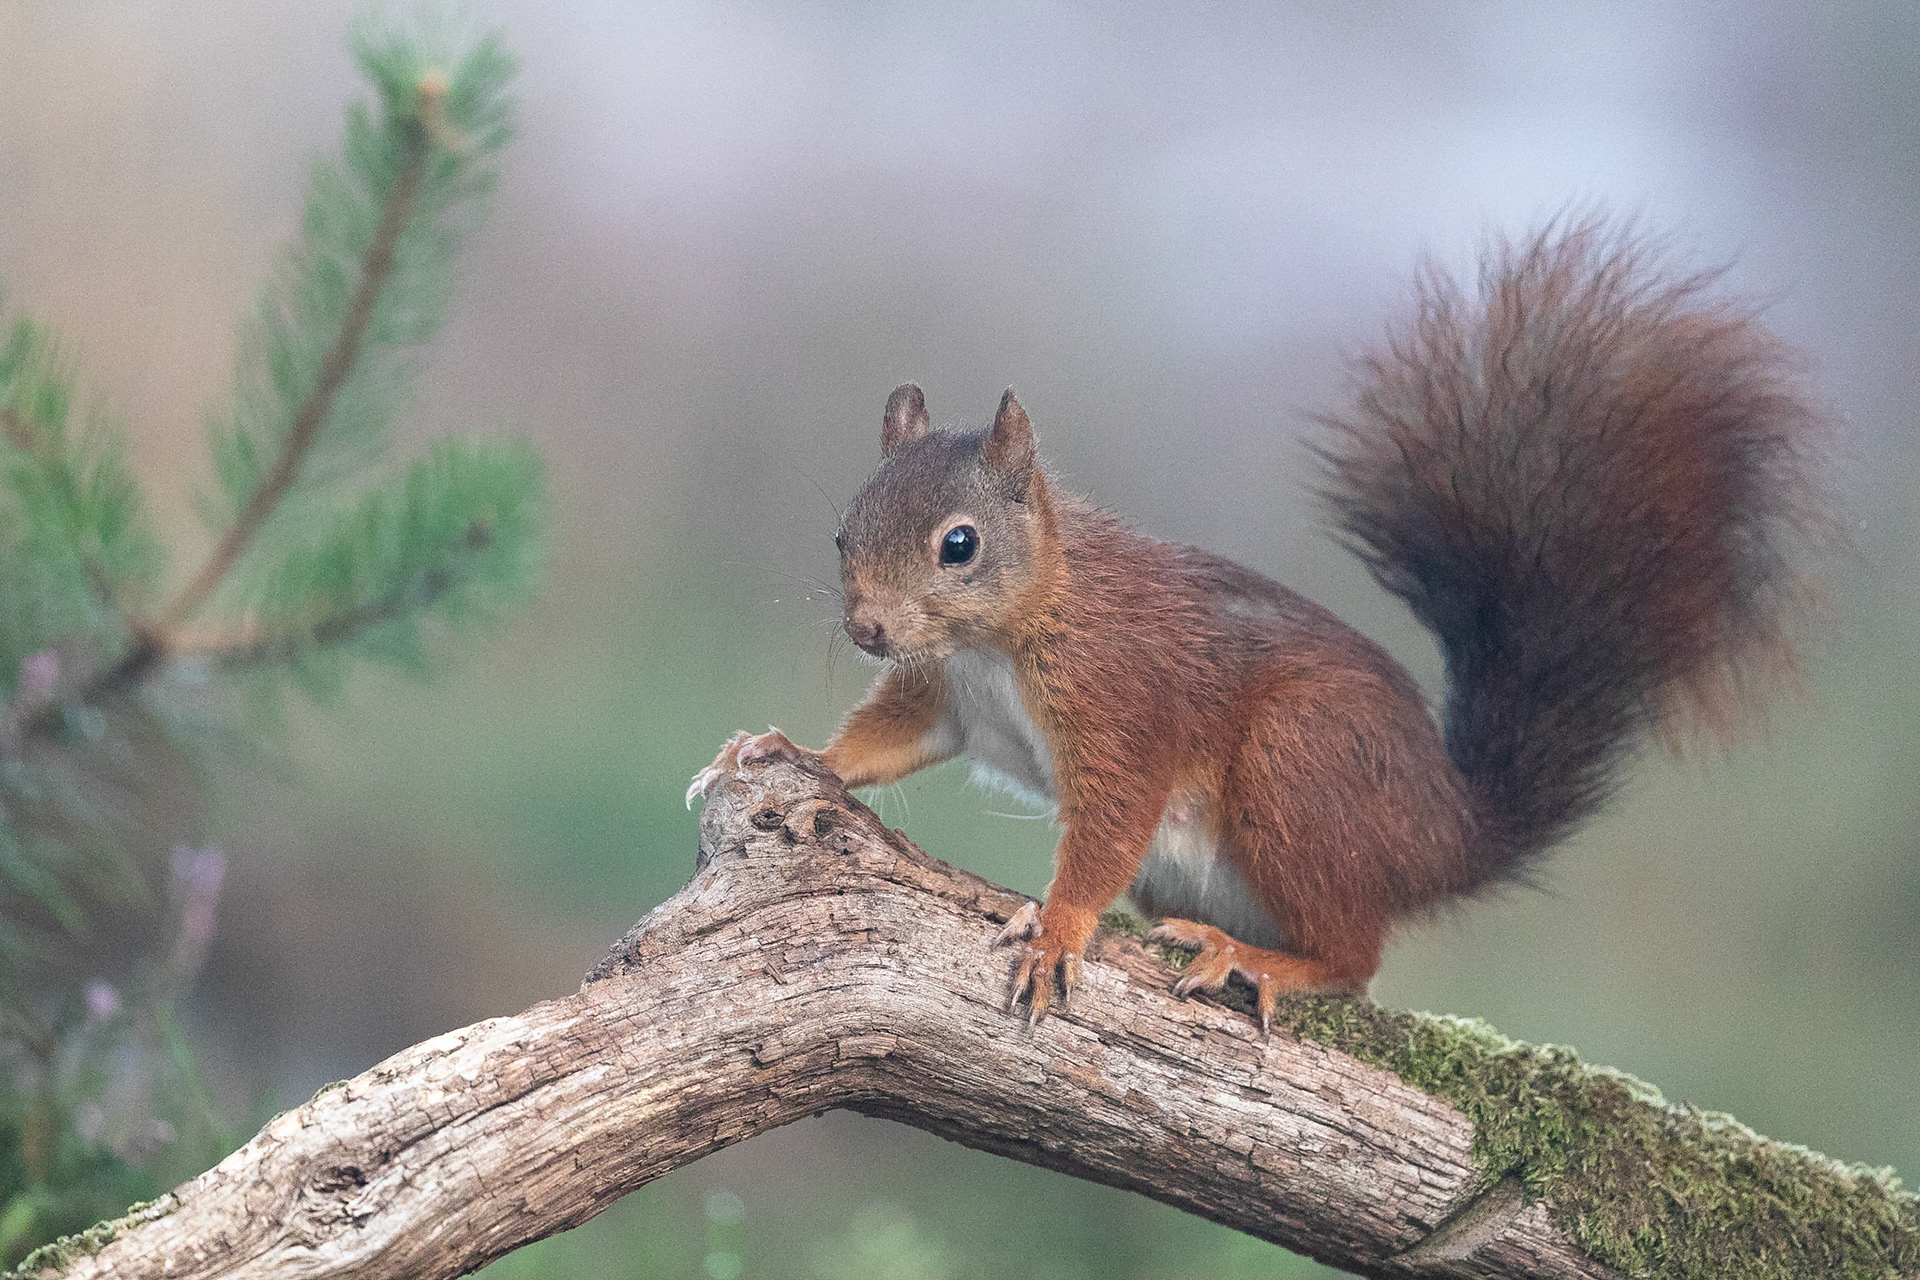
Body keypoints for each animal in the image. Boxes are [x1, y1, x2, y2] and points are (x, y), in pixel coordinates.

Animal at [691, 217, 1827, 1028]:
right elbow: (887, 739)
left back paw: (1253, 955)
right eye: (843, 533)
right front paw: (792, 751)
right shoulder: (946, 695)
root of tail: (1444, 835)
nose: (869, 630)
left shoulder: (1123, 700)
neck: (1003, 638)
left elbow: (1108, 822)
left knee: (1357, 963)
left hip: (1300, 766)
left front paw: (1059, 927)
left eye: (959, 545)